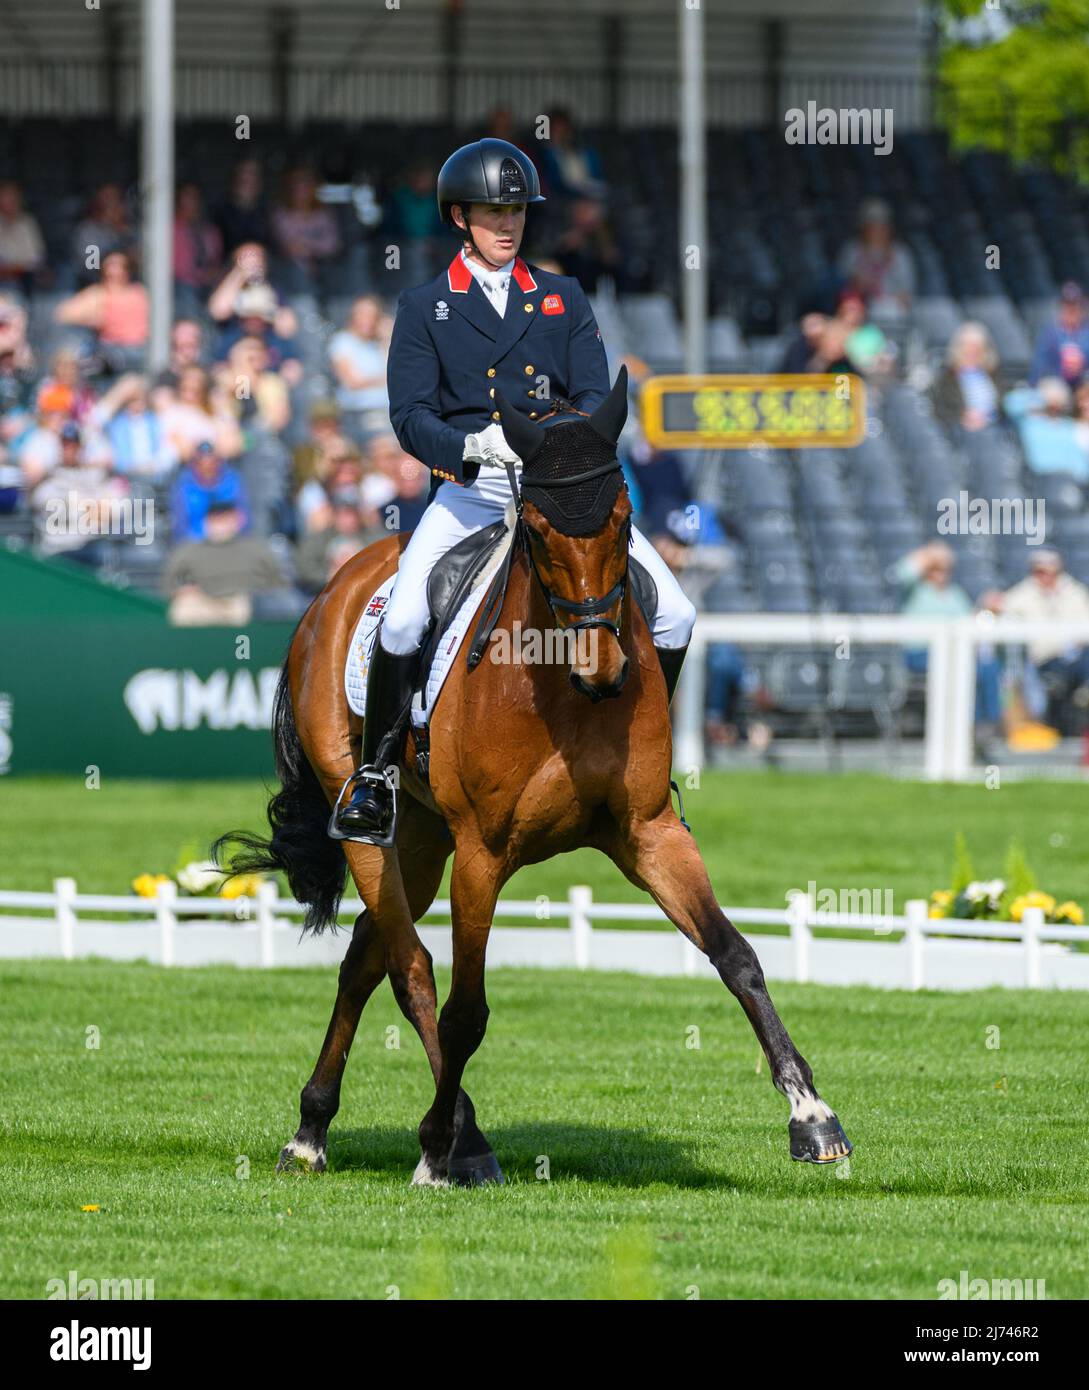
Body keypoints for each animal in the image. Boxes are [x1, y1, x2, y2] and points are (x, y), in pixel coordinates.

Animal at [216, 369, 856, 1184]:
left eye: (623, 520)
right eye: (542, 531)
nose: (603, 671)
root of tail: (334, 588)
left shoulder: (648, 834)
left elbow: (735, 956)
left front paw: (812, 1118)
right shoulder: (482, 855)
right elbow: (465, 1010)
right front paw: (437, 1151)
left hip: (419, 837)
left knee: (367, 955)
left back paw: (313, 1128)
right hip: (366, 821)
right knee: (409, 966)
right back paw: (456, 1141)